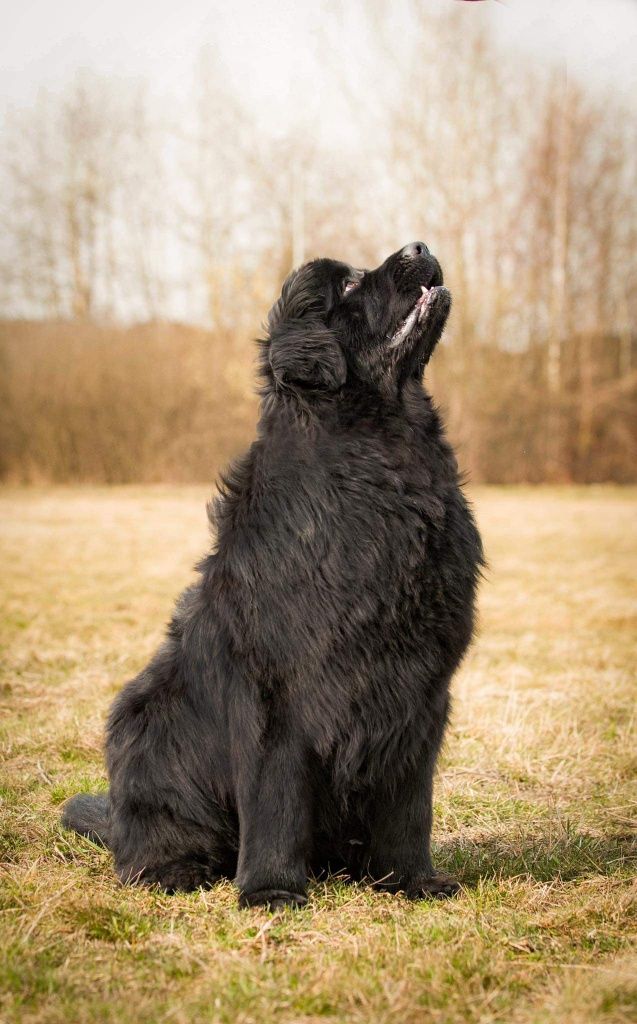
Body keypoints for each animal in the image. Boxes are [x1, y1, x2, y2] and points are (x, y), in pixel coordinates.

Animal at [63, 243, 483, 909]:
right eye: (349, 284)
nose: (420, 247)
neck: (379, 464)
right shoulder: (277, 689)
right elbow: (276, 798)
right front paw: (272, 892)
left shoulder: (421, 688)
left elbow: (410, 805)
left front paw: (412, 880)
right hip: (146, 721)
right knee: (149, 841)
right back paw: (172, 869)